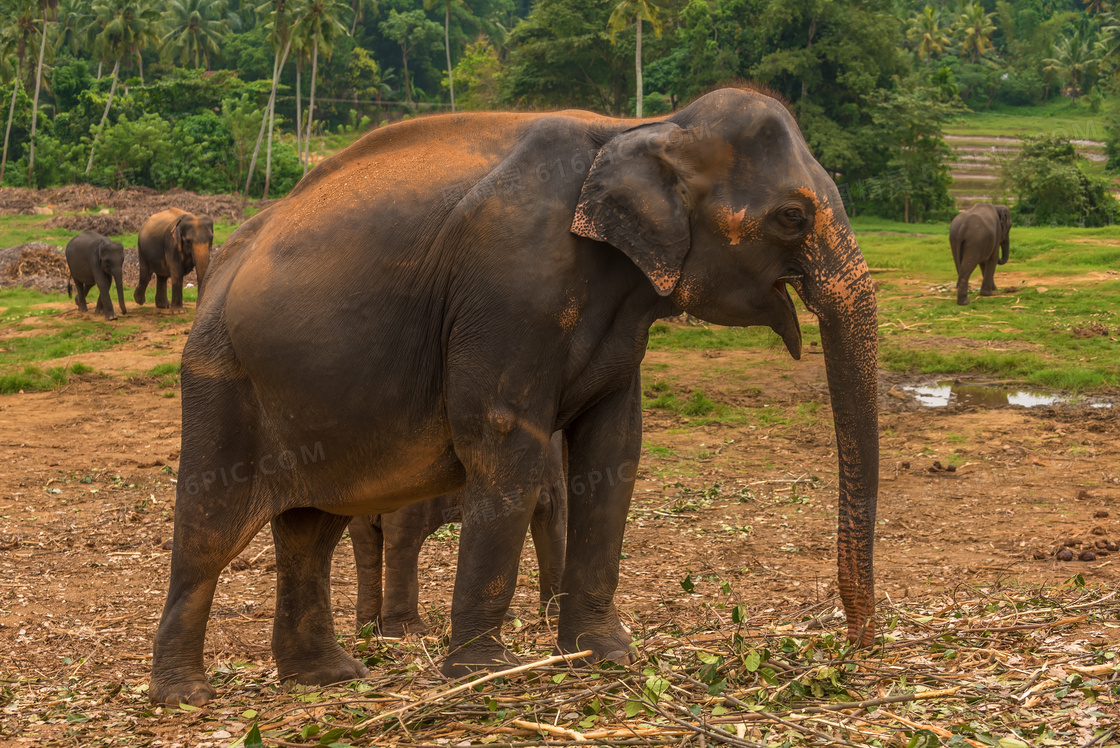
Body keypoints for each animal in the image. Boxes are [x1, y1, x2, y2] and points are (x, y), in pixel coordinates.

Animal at [347, 429, 568, 636]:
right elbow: (548, 507)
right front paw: (553, 617)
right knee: (403, 543)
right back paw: (412, 632)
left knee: (367, 547)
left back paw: (368, 630)